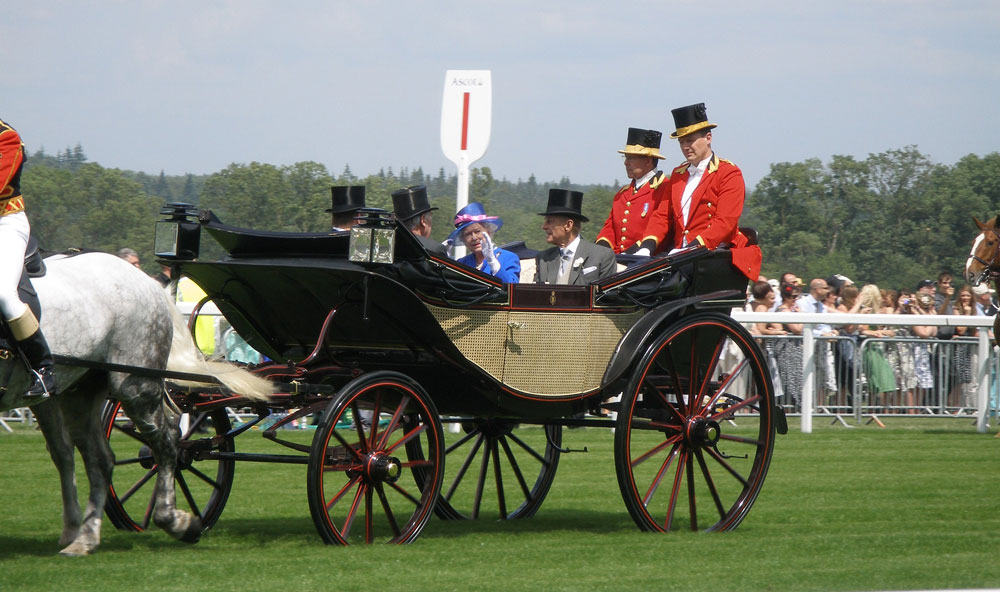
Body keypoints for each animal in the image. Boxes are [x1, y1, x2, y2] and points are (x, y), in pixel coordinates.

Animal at [0, 253, 274, 556]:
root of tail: (151, 284)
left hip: (135, 386)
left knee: (166, 444)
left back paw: (174, 522)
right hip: (75, 392)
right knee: (93, 457)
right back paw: (83, 536)